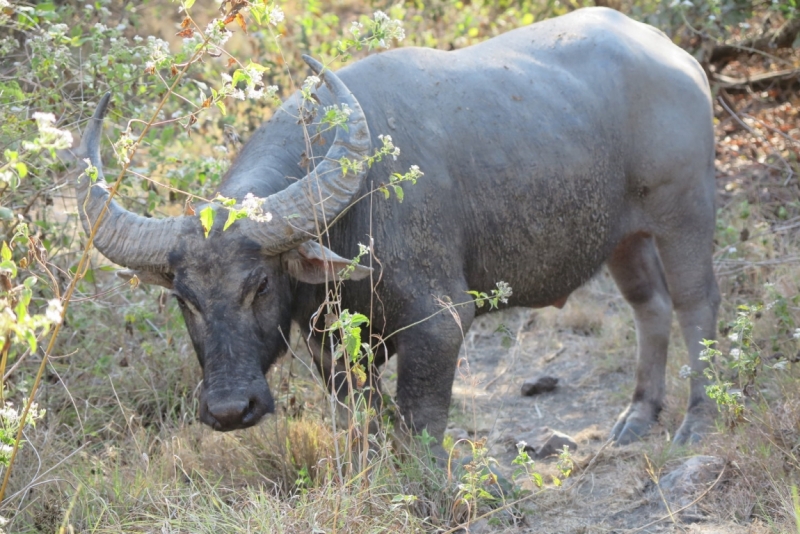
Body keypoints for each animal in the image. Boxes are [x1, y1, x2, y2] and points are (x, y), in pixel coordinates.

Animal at [70, 7, 720, 452]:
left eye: (260, 284)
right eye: (186, 299)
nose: (230, 409)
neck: (355, 210)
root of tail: (677, 58)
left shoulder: (440, 323)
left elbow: (419, 425)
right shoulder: (331, 346)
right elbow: (372, 417)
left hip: (685, 212)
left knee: (695, 304)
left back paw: (696, 422)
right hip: (624, 238)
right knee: (650, 306)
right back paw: (638, 417)